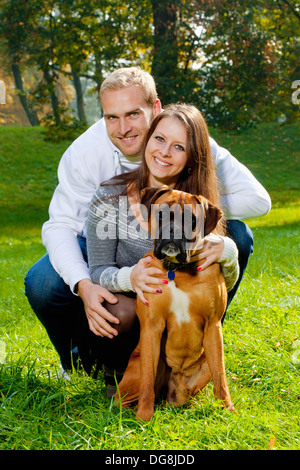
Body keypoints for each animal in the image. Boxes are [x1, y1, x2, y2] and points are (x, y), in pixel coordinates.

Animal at [115, 187, 234, 422]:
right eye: (161, 215)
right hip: (135, 372)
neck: (177, 271)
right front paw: (144, 417)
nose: (174, 231)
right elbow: (147, 382)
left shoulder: (213, 326)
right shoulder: (152, 328)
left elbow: (221, 377)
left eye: (192, 220)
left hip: (201, 369)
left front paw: (227, 409)